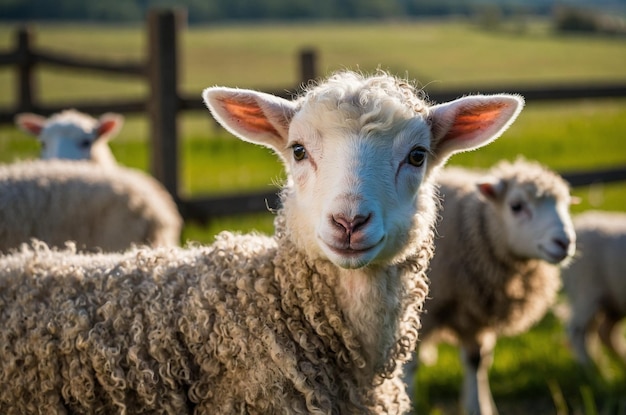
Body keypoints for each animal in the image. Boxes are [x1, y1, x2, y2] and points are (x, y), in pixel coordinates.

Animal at [402, 158, 572, 415]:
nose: (564, 242)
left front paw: (478, 406)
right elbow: (410, 363)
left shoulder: (476, 316)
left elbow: (477, 361)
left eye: (565, 205)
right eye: (516, 206)